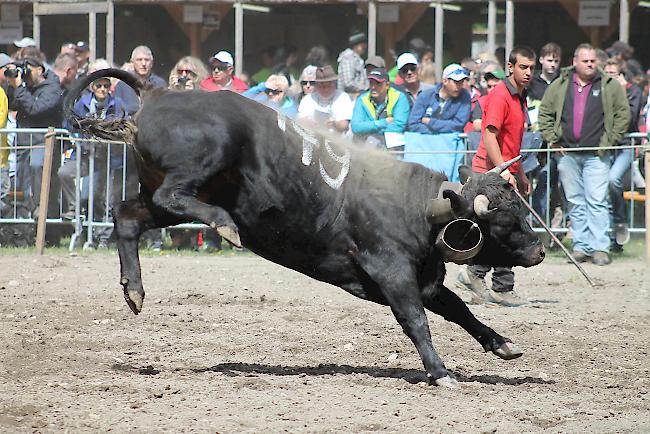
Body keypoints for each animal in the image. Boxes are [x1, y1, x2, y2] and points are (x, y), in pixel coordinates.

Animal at [64, 69, 540, 388]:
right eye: (503, 219)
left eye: (520, 205)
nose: (538, 249)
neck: (419, 208)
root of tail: (157, 92)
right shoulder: (392, 273)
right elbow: (416, 320)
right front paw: (440, 373)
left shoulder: (425, 278)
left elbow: (459, 309)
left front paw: (502, 344)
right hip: (199, 167)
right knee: (170, 198)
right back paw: (224, 225)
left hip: (161, 195)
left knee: (127, 216)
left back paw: (134, 289)